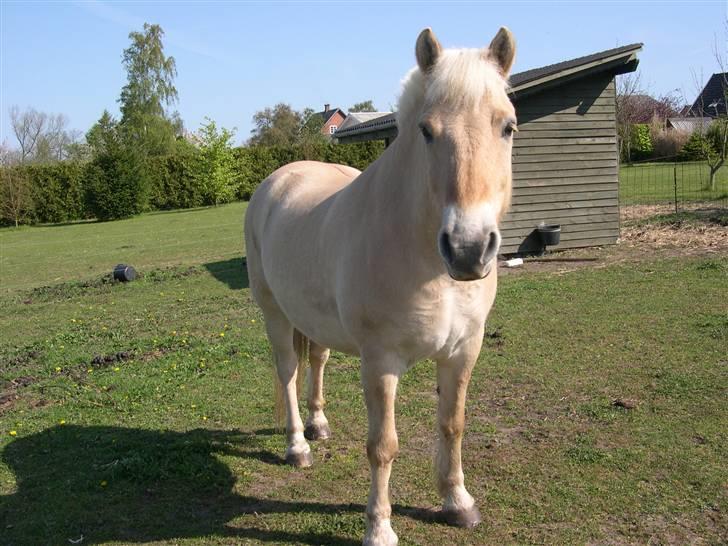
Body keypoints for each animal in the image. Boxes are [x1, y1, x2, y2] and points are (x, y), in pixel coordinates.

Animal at [246, 27, 516, 544]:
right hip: (274, 314)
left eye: (508, 126)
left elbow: (452, 425)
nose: (468, 249)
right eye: (426, 131)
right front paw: (379, 528)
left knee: (316, 361)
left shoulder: (463, 351)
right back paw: (297, 446)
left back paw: (319, 425)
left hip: (316, 323)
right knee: (287, 371)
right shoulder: (381, 362)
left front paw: (458, 502)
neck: (428, 263)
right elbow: (383, 446)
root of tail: (280, 178)